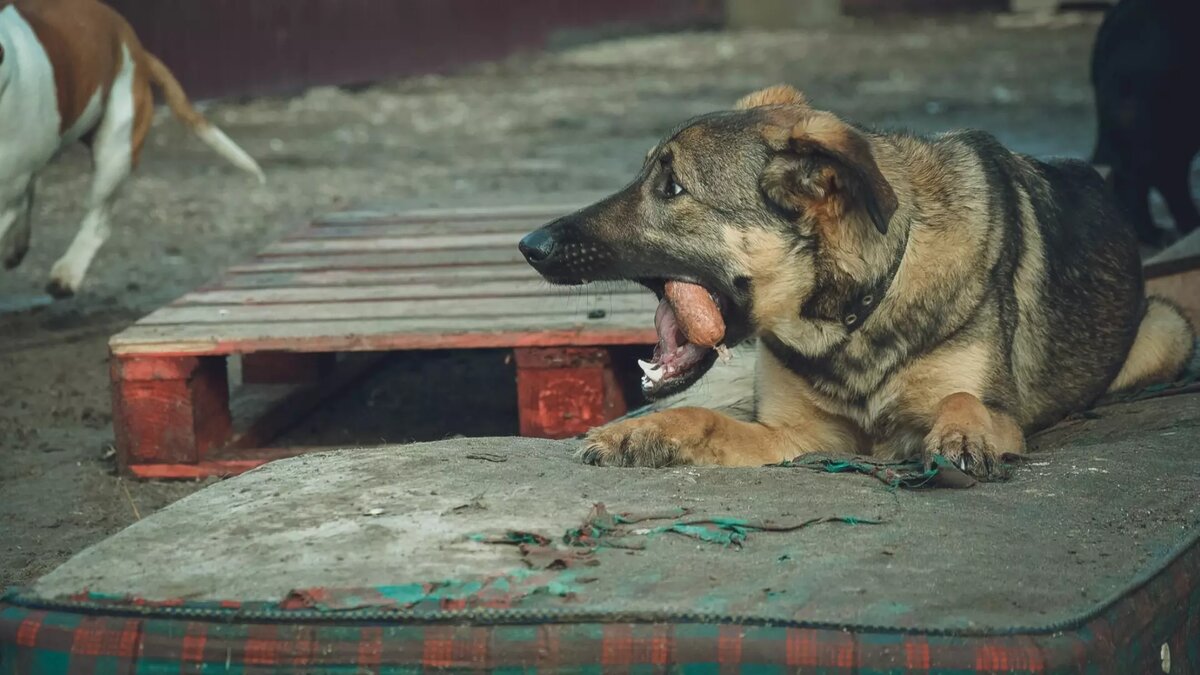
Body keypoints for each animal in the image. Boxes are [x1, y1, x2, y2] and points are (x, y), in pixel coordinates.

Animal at [520, 85, 1195, 478]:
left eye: (673, 187)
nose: (530, 246)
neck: (849, 317)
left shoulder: (1006, 417)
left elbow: (964, 399)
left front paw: (961, 432)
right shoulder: (796, 435)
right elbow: (702, 419)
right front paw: (641, 432)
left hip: (1166, 329)